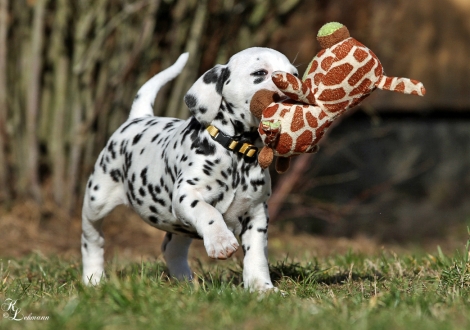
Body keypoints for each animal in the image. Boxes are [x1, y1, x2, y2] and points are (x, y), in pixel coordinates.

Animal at [81, 47, 298, 292]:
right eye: (260, 73)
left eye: (295, 74)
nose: (294, 90)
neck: (236, 153)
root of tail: (139, 117)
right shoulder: (187, 195)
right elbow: (208, 212)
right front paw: (220, 241)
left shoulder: (257, 213)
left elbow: (256, 256)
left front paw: (262, 288)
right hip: (97, 202)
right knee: (92, 239)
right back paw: (93, 278)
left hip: (181, 226)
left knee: (171, 248)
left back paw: (185, 282)